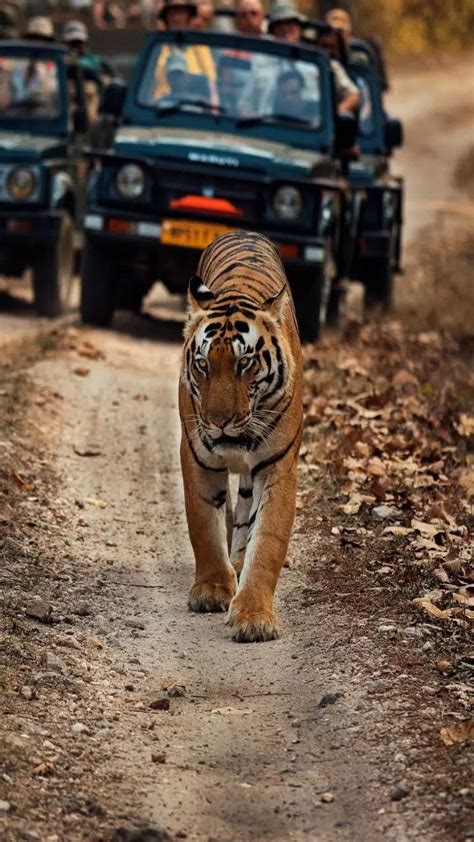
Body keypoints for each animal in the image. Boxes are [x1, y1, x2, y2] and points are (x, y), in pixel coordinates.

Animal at [179, 231, 303, 642]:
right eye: (202, 364)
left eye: (244, 363)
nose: (219, 421)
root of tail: (244, 233)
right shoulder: (196, 455)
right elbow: (203, 524)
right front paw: (212, 589)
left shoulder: (279, 466)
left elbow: (266, 542)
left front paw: (253, 616)